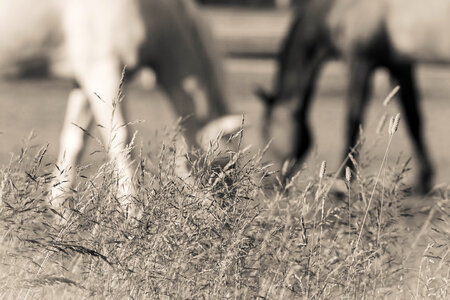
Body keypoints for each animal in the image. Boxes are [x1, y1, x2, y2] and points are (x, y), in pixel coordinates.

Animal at [0, 0, 243, 216]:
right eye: (222, 164)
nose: (227, 218)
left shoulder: (83, 80)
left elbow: (75, 141)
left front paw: (60, 208)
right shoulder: (103, 72)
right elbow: (122, 142)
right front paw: (133, 212)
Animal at [256, 0, 450, 192]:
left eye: (265, 129)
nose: (266, 181)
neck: (340, 8)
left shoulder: (360, 62)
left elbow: (353, 120)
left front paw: (343, 177)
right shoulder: (399, 65)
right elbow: (413, 120)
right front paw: (424, 177)